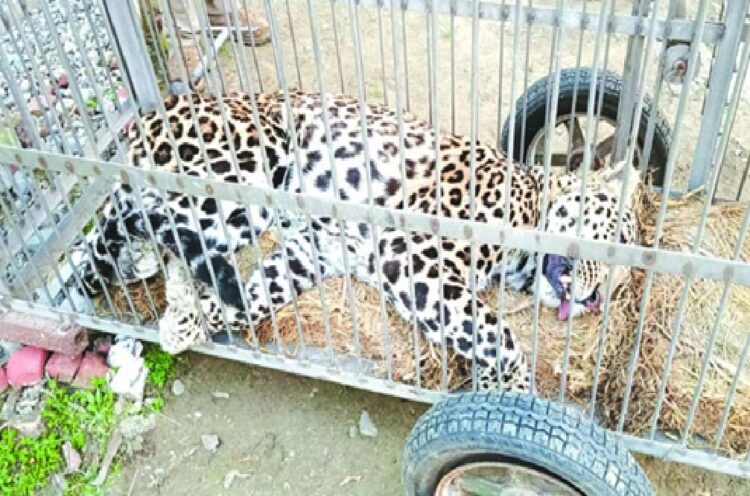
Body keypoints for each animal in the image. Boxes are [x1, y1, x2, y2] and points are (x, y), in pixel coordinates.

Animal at [73, 88, 644, 392]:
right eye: (615, 239)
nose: (599, 299)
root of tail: (152, 110)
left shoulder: (311, 256)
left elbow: (249, 298)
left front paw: (189, 320)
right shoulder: (414, 258)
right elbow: (499, 336)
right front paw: (514, 395)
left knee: (125, 227)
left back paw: (135, 269)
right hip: (243, 174)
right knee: (133, 215)